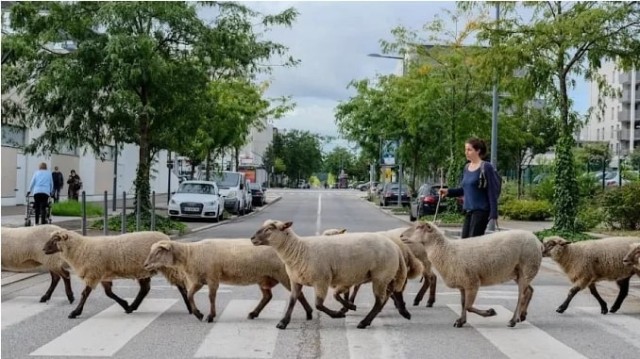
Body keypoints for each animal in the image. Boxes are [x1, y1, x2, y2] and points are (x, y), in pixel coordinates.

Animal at [43, 229, 190, 320]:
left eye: (56, 239)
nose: (43, 249)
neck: (81, 248)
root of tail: (166, 238)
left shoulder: (93, 273)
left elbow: (85, 294)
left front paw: (75, 312)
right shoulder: (102, 274)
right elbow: (109, 293)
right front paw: (125, 304)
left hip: (167, 267)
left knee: (181, 284)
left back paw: (189, 307)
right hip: (143, 269)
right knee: (145, 289)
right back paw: (132, 307)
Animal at [144, 239, 316, 324]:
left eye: (159, 251)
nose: (145, 265)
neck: (189, 254)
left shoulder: (212, 277)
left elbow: (211, 297)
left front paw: (210, 316)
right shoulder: (198, 280)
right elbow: (190, 295)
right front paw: (198, 314)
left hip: (283, 275)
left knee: (297, 293)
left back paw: (309, 313)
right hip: (264, 278)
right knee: (268, 296)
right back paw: (253, 313)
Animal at [251, 218, 410, 330]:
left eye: (270, 228)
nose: (252, 239)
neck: (299, 250)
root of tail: (395, 246)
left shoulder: (322, 280)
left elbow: (318, 305)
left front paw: (337, 314)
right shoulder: (295, 281)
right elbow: (292, 301)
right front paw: (283, 322)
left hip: (380, 276)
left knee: (379, 301)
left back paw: (364, 322)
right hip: (386, 276)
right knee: (388, 295)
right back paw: (397, 312)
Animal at [402, 222, 544, 330]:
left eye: (419, 227)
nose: (401, 236)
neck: (446, 251)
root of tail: (538, 241)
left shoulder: (472, 282)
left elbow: (468, 306)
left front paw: (490, 312)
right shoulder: (462, 284)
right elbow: (463, 303)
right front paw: (461, 321)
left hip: (528, 266)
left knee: (522, 295)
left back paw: (513, 320)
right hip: (519, 273)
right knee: (529, 290)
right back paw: (522, 316)